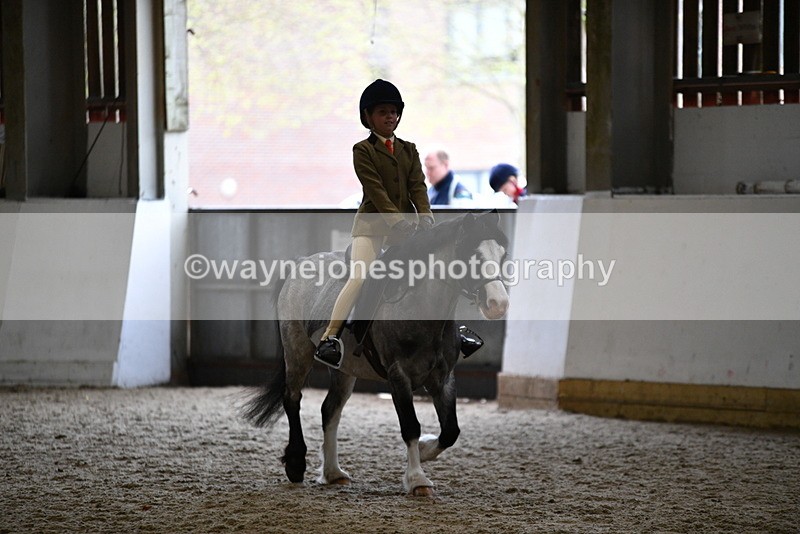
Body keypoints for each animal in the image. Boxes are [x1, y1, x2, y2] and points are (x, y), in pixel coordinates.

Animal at [242, 210, 510, 496]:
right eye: (473, 254)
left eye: (502, 255)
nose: (499, 304)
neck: (420, 308)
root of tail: (301, 263)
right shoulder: (398, 376)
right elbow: (410, 426)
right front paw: (417, 479)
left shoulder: (443, 378)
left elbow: (450, 431)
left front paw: (425, 450)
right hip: (297, 350)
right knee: (292, 399)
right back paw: (296, 464)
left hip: (344, 369)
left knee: (330, 410)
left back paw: (333, 473)